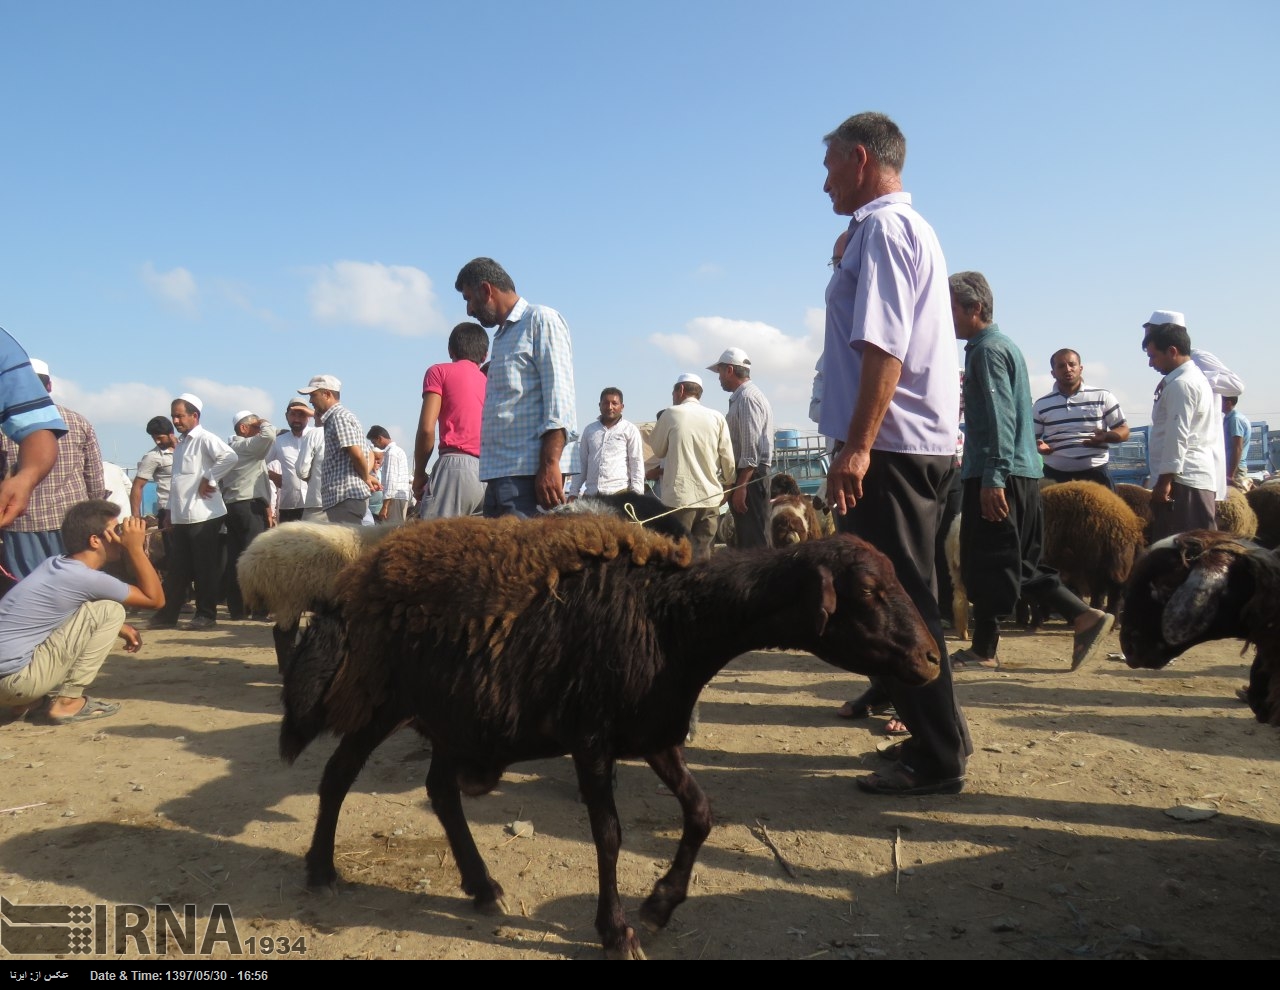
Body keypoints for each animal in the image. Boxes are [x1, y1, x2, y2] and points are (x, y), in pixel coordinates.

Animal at [280, 514, 942, 963]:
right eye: (869, 592)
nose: (933, 660)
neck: (673, 618)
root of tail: (358, 575)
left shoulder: (654, 733)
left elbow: (701, 812)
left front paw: (661, 903)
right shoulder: (592, 738)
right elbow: (609, 835)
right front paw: (616, 929)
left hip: (456, 714)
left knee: (440, 791)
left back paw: (481, 886)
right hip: (381, 698)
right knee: (338, 776)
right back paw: (322, 871)